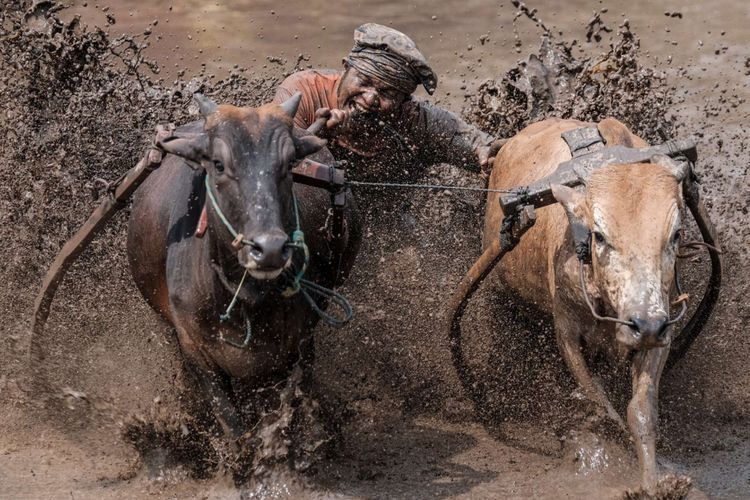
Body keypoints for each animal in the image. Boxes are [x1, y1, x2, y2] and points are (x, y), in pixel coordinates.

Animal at [127, 94, 362, 438]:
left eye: (290, 163)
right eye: (218, 164)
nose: (269, 249)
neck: (246, 299)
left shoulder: (300, 344)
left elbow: (288, 406)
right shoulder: (194, 347)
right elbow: (233, 426)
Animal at [488, 117, 692, 492]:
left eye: (676, 234)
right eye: (599, 235)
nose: (644, 325)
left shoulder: (662, 329)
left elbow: (641, 410)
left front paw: (655, 481)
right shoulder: (566, 333)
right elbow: (599, 402)